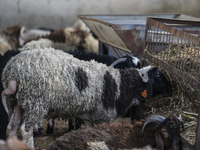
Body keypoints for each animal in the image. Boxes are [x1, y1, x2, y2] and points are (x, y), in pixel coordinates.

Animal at [1, 48, 170, 148]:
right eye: (158, 75)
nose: (171, 87)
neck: (119, 84)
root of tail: (13, 70)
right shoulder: (104, 115)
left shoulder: (90, 118)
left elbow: (90, 135)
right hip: (34, 102)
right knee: (26, 130)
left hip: (16, 102)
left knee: (13, 127)